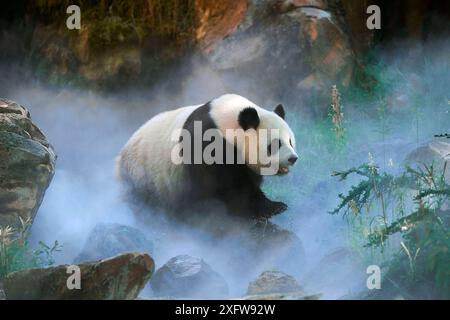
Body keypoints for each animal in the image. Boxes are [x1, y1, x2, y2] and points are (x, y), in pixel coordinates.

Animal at [116, 94, 298, 221]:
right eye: (275, 144)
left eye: (290, 141)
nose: (293, 158)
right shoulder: (207, 145)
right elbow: (230, 186)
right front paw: (267, 209)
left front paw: (274, 206)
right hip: (141, 174)